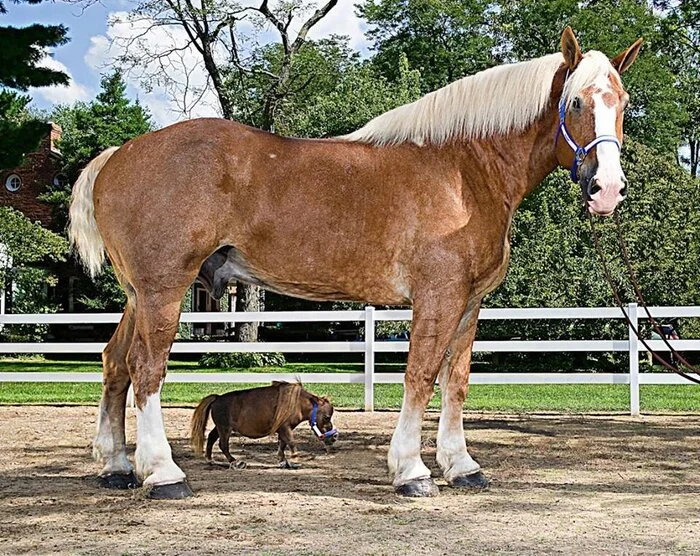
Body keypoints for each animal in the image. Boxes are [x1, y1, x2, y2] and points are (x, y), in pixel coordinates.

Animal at [189, 382, 336, 470]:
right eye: (327, 417)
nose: (334, 437)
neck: (297, 403)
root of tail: (217, 398)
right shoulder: (285, 428)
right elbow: (291, 442)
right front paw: (295, 459)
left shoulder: (282, 430)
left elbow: (283, 444)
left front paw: (284, 461)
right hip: (225, 429)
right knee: (223, 445)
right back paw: (235, 462)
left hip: (220, 427)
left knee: (211, 437)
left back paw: (210, 459)